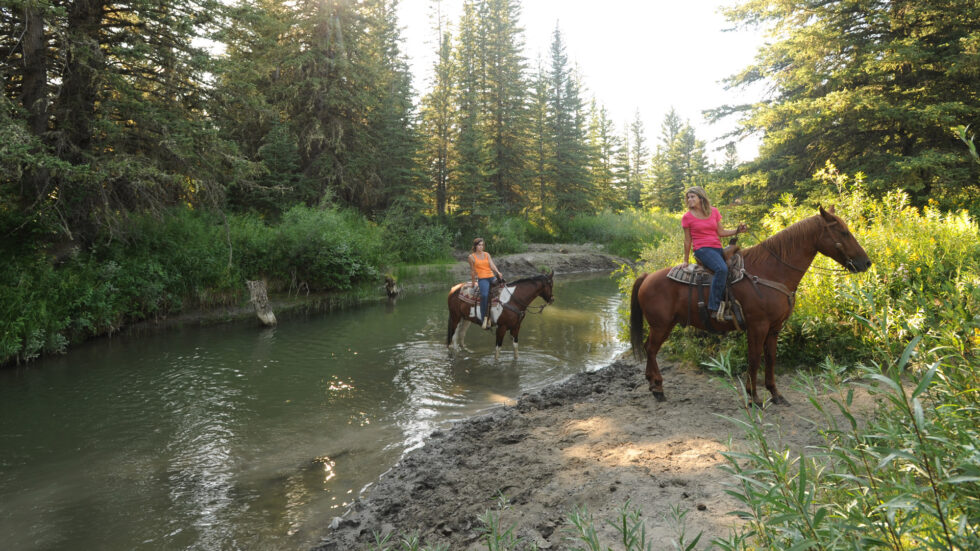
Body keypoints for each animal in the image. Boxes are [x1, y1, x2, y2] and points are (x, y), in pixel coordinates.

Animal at [636, 207, 872, 406]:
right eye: (843, 232)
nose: (866, 262)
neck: (771, 271)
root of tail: (647, 277)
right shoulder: (757, 326)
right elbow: (754, 359)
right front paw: (754, 397)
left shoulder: (775, 328)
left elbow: (771, 359)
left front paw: (775, 394)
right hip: (660, 325)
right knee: (651, 349)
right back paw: (657, 388)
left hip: (665, 325)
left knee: (649, 348)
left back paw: (652, 383)